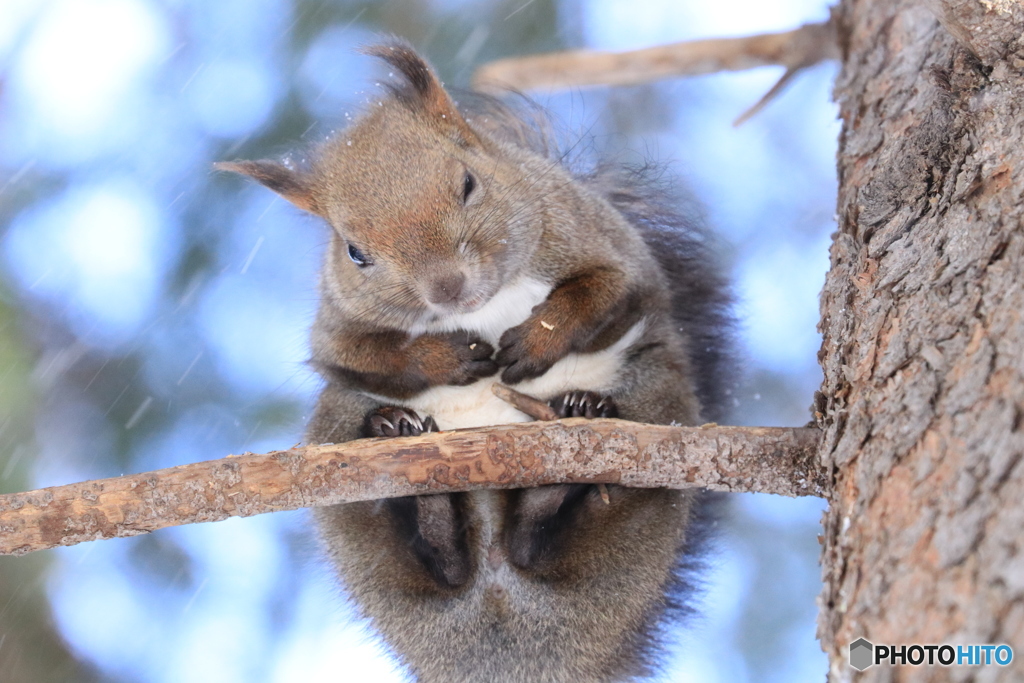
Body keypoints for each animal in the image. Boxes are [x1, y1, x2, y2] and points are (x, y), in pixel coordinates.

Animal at [216, 40, 733, 679]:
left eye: (467, 183)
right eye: (354, 252)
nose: (447, 288)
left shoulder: (609, 245)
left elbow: (603, 294)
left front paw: (535, 340)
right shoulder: (335, 329)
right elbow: (365, 355)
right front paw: (451, 357)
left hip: (654, 409)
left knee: (538, 543)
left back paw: (566, 447)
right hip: (340, 449)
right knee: (443, 561)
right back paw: (417, 475)